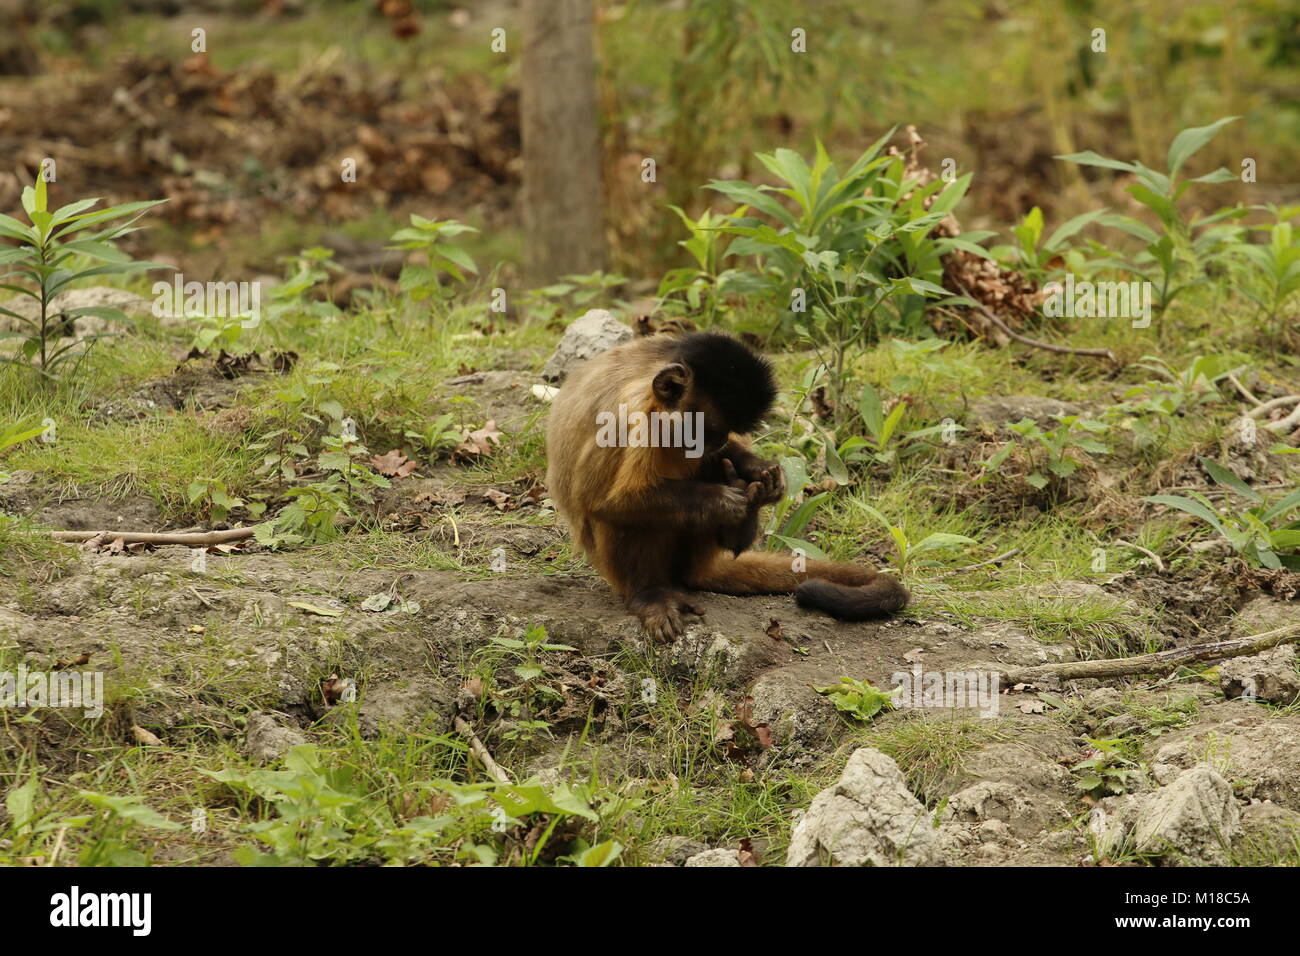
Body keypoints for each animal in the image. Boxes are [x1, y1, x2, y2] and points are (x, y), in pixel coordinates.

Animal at [545, 331, 909, 641]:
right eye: (708, 429)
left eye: (723, 431)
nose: (718, 441)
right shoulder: (633, 416)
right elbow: (600, 501)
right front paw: (720, 500)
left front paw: (762, 474)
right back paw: (650, 594)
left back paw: (741, 527)